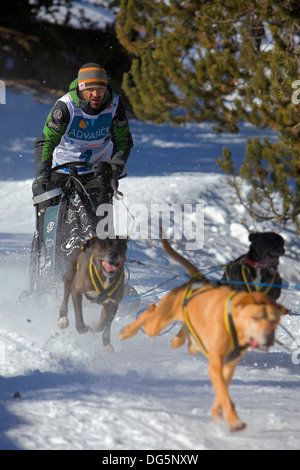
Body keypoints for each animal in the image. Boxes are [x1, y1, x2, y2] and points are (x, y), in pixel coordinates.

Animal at [118, 237, 288, 432]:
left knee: (185, 336)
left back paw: (180, 339)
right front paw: (234, 420)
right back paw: (127, 331)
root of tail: (199, 280)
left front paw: (219, 413)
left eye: (274, 320)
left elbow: (222, 392)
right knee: (150, 311)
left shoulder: (228, 366)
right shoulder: (215, 365)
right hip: (157, 322)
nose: (269, 338)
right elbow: (223, 394)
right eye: (256, 317)